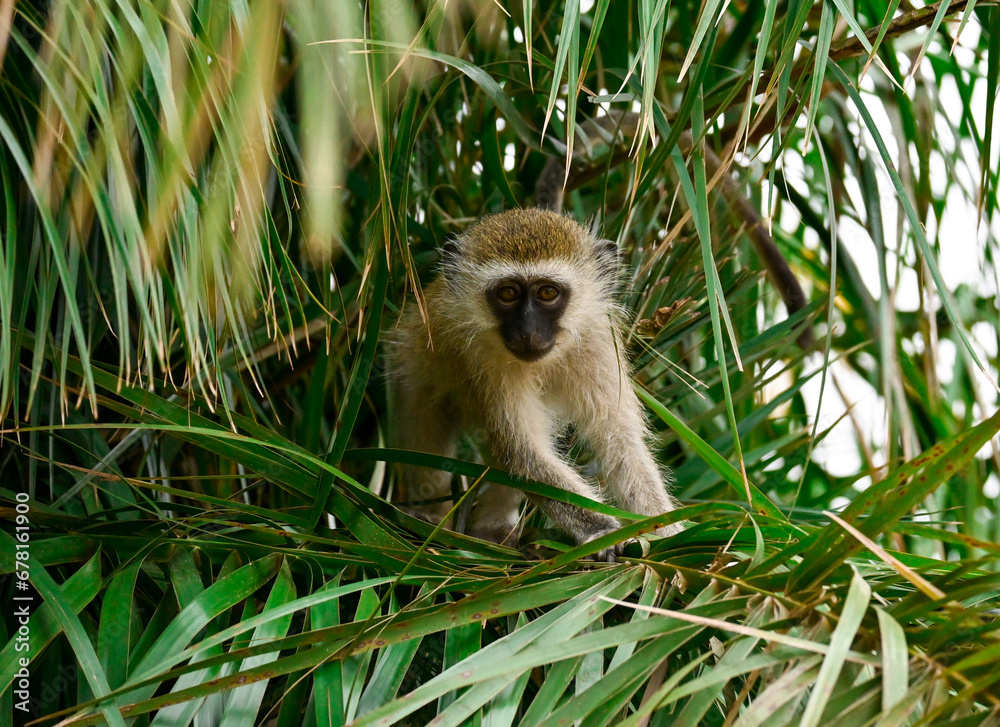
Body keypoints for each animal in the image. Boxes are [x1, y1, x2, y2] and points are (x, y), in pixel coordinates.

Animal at [387, 208, 681, 561]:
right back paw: (430, 517)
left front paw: (667, 531)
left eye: (547, 293)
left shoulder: (598, 341)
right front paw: (602, 531)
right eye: (508, 294)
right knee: (426, 431)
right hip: (410, 373)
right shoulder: (483, 359)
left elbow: (621, 443)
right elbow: (523, 450)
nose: (528, 331)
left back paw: (491, 528)